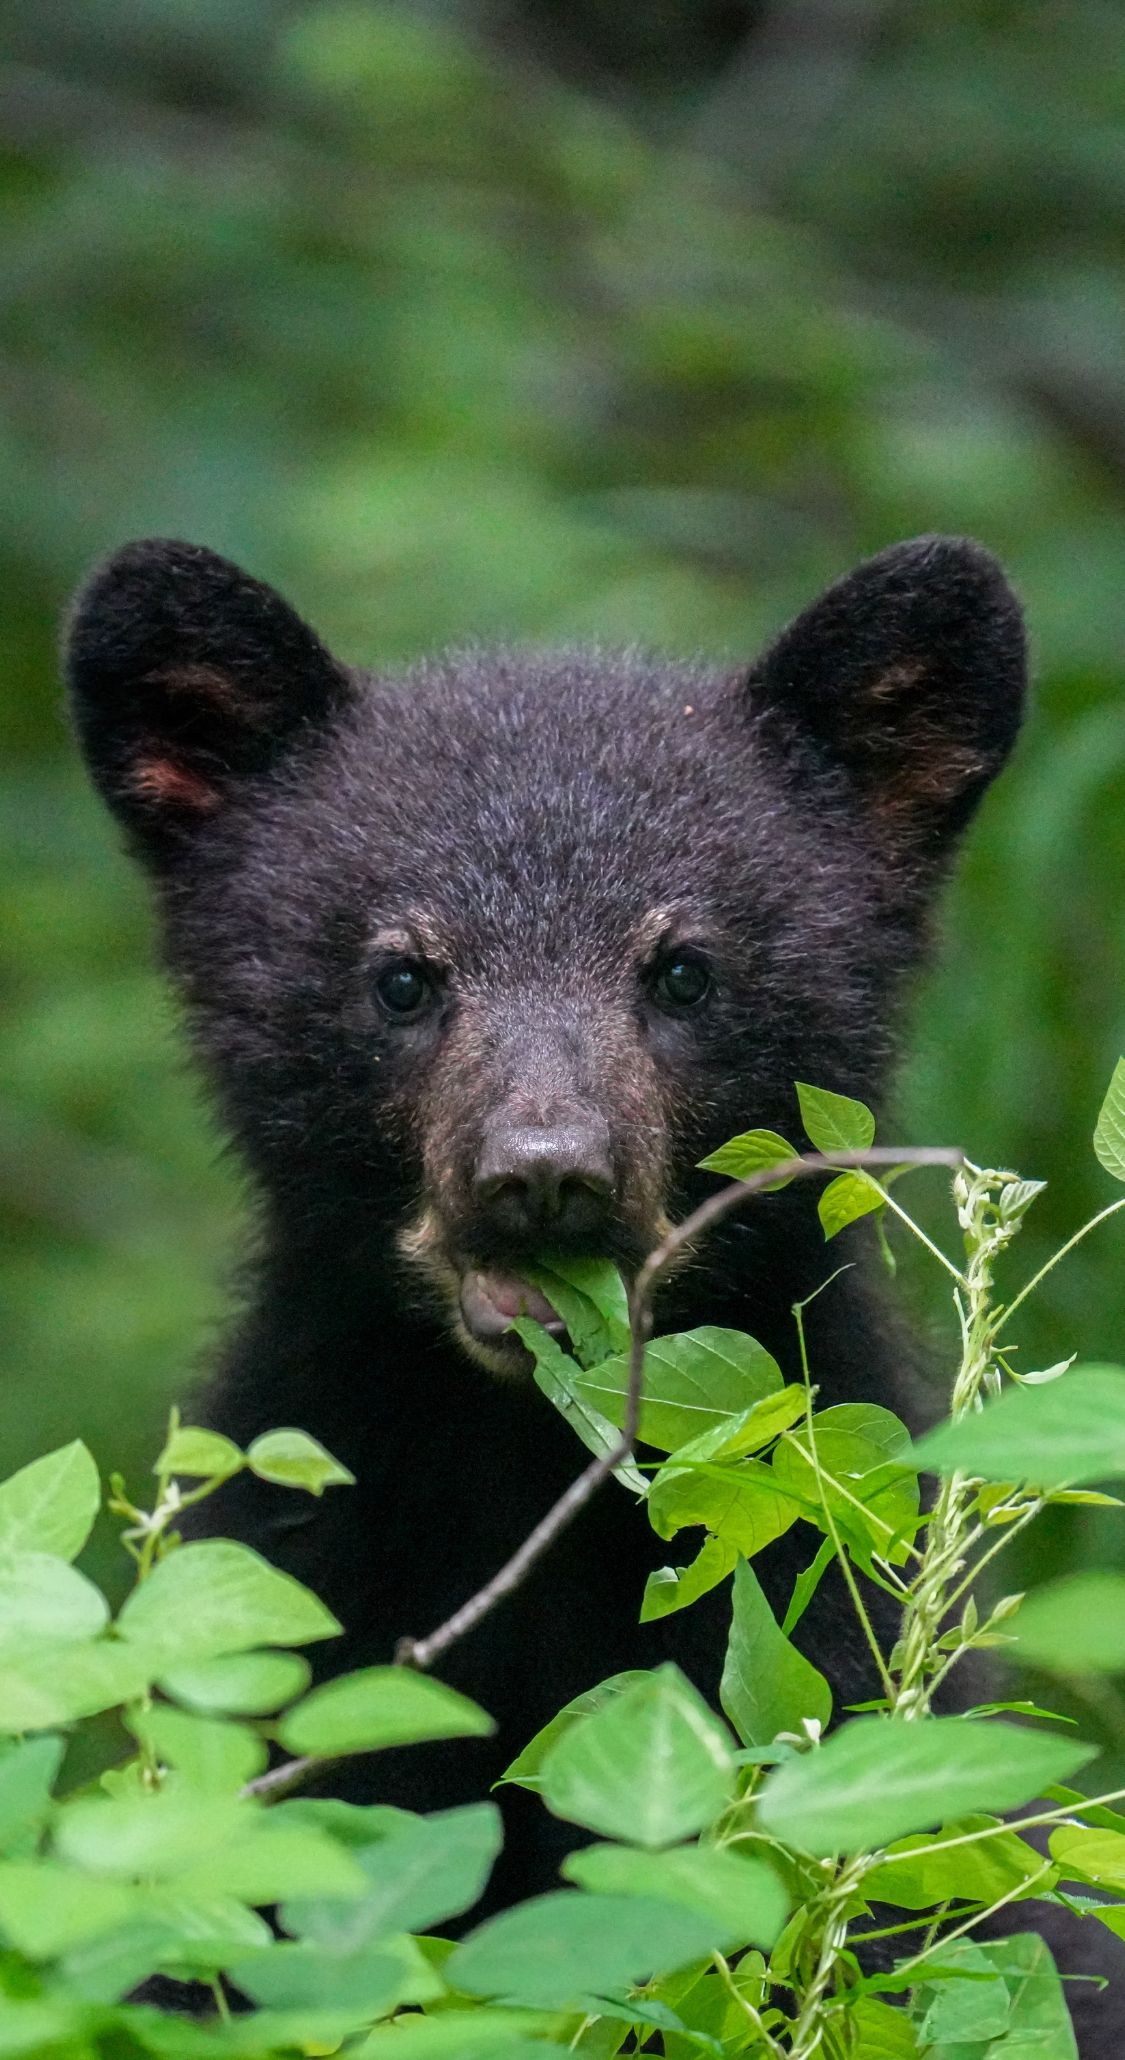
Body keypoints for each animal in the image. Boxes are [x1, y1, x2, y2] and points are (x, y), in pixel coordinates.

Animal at [67, 532, 1121, 2048]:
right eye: (403, 977)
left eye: (682, 968)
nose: (544, 1170)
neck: (523, 1483)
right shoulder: (292, 1617)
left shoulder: (841, 1672)